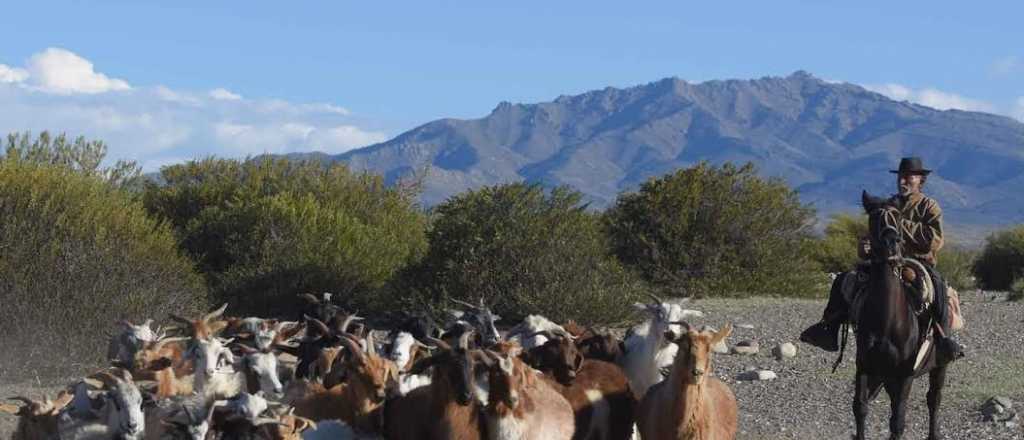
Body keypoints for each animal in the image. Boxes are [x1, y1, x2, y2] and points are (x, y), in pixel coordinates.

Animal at [851, 191, 946, 440]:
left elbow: (897, 421)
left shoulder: (905, 374)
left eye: (898, 217)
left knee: (934, 400)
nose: (891, 242)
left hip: (939, 367)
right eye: (874, 218)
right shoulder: (864, 366)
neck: (888, 321)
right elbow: (860, 407)